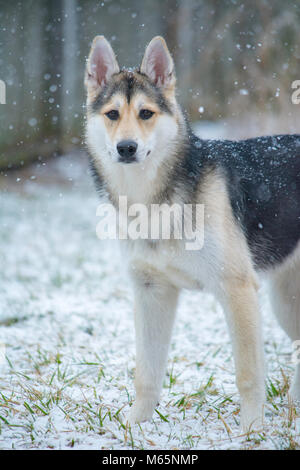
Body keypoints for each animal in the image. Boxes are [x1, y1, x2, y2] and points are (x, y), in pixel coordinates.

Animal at [84, 35, 300, 432]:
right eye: (112, 115)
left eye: (146, 114)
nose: (126, 148)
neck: (153, 199)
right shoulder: (152, 292)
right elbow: (146, 373)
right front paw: (135, 426)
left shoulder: (237, 290)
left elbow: (248, 374)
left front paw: (252, 431)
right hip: (286, 302)